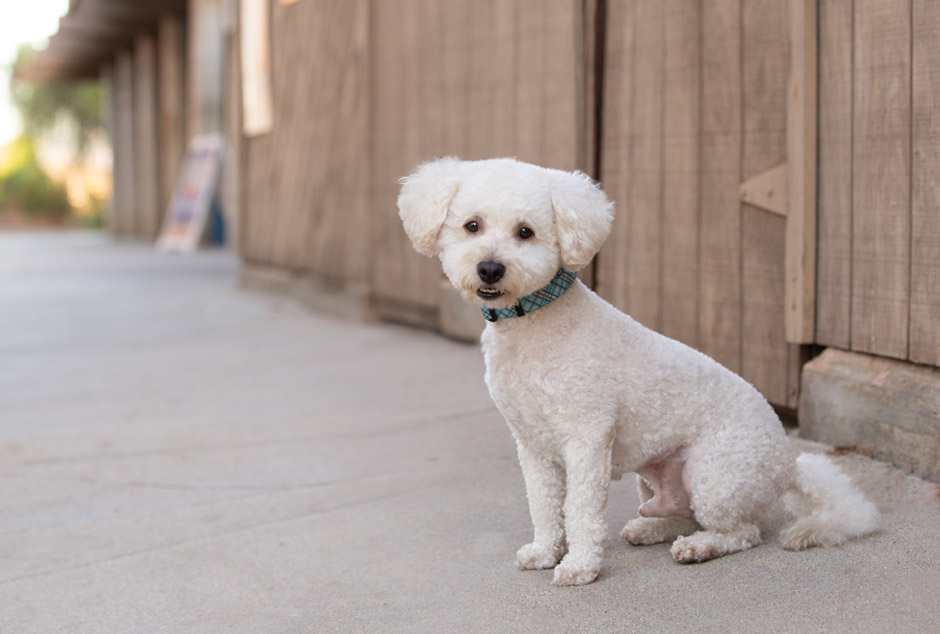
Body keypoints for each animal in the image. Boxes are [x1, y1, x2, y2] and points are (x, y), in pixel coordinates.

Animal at [392, 157, 876, 584]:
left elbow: (581, 509)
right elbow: (544, 505)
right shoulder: (532, 446)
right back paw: (650, 529)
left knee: (742, 532)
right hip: (655, 476)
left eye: (524, 232)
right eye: (472, 225)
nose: (490, 268)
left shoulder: (587, 438)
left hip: (714, 474)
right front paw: (546, 552)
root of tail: (788, 464)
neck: (531, 326)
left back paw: (699, 547)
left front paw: (580, 567)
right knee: (680, 513)